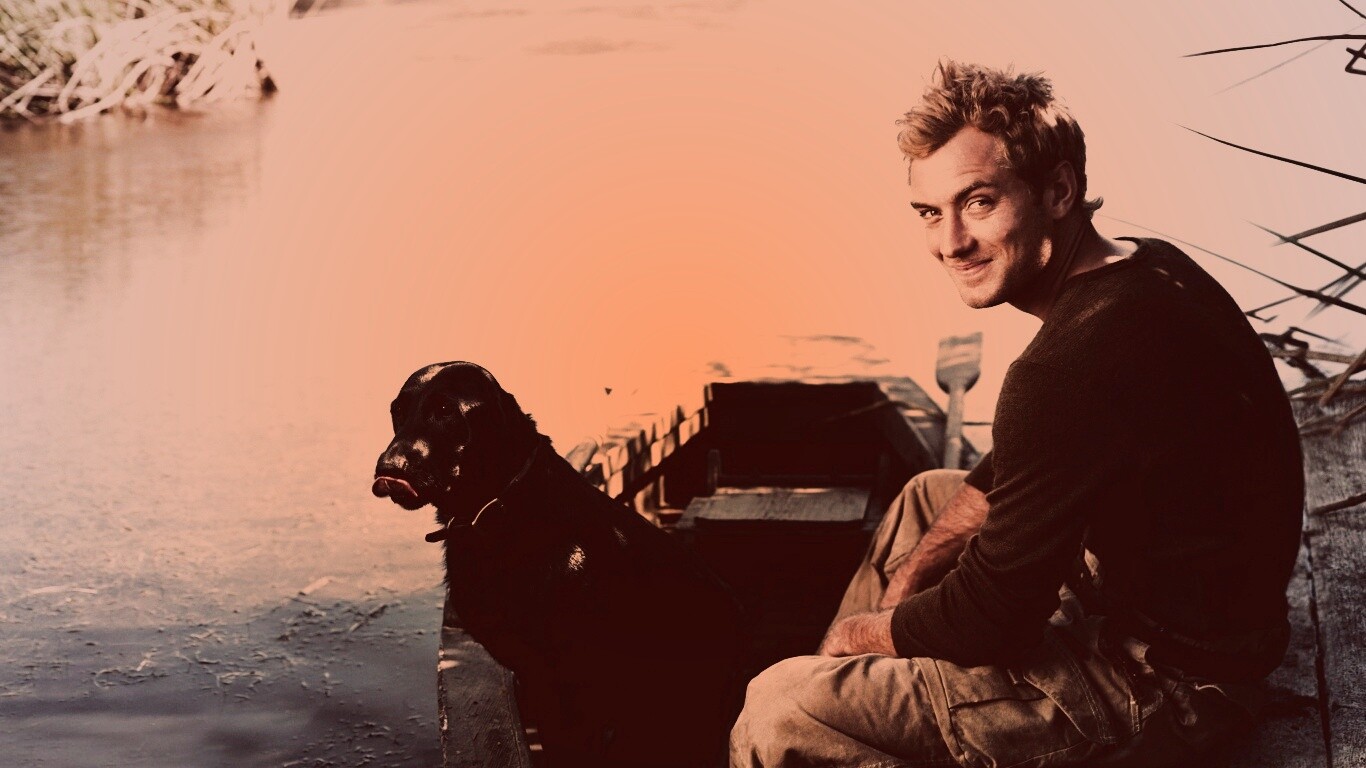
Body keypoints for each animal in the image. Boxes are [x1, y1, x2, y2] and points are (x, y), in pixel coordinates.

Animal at [372, 362, 743, 767]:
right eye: (397, 411)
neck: (498, 507)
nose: (389, 468)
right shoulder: (533, 676)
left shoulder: (570, 687)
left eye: (445, 412)